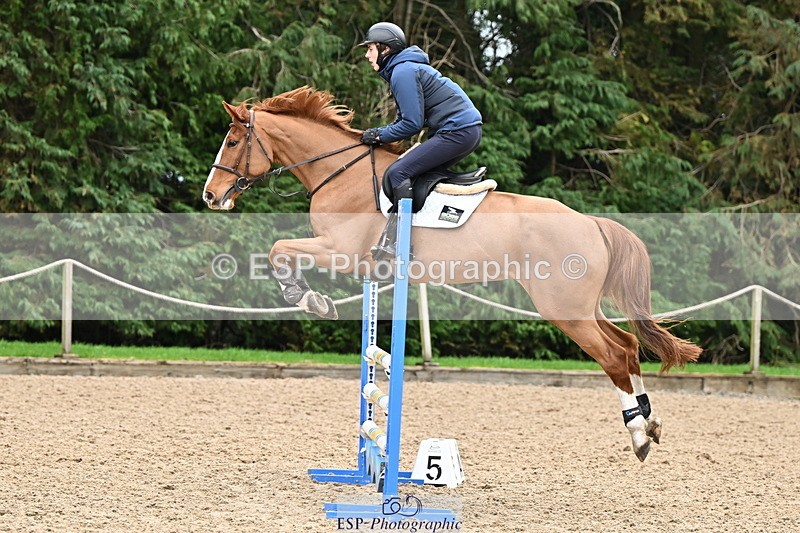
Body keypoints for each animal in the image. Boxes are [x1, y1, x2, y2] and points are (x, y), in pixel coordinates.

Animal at [202, 86, 702, 462]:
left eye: (232, 142)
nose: (210, 196)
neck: (339, 173)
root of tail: (591, 222)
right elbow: (282, 251)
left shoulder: (340, 252)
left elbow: (279, 250)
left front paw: (310, 299)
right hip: (580, 306)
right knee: (629, 345)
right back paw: (650, 423)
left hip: (563, 308)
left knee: (614, 356)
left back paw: (638, 437)